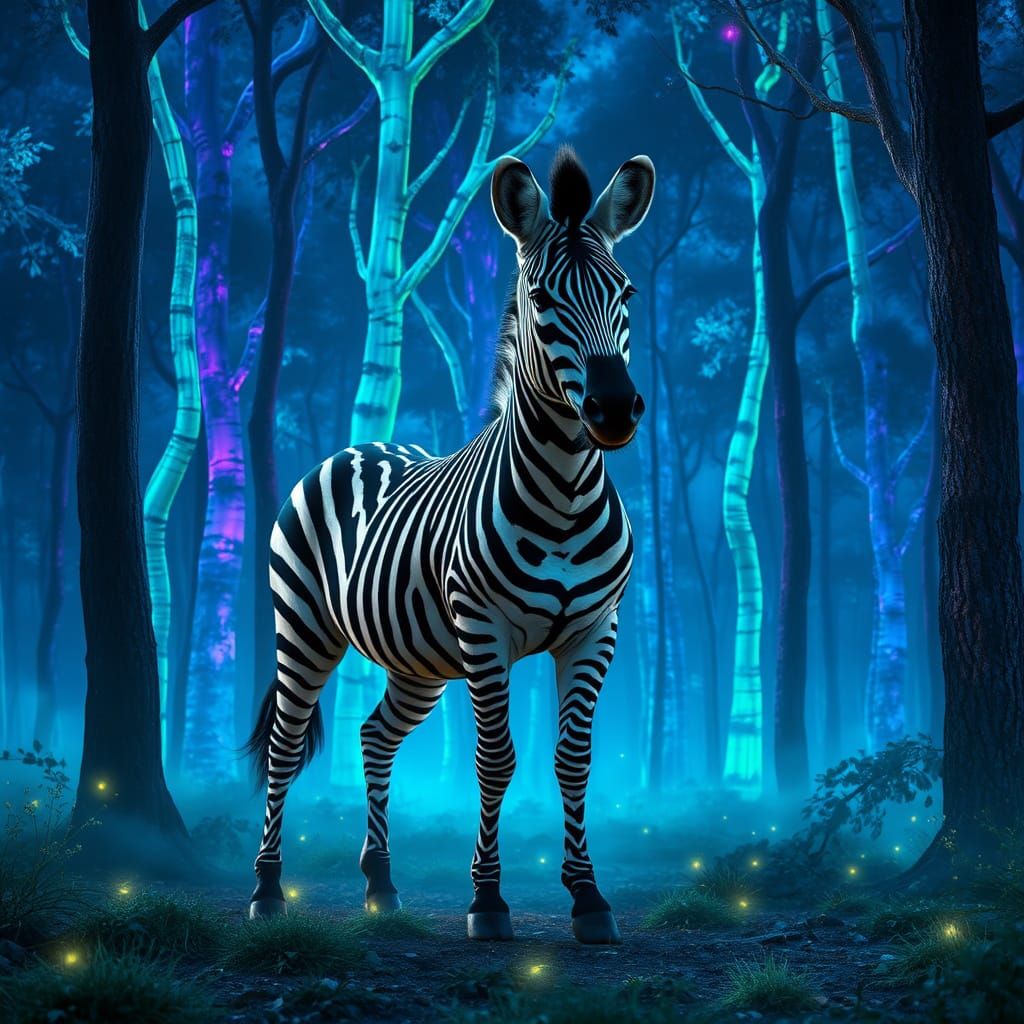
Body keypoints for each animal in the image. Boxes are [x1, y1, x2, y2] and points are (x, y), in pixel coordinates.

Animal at [246, 146, 655, 945]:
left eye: (624, 291)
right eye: (541, 297)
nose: (615, 410)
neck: (564, 494)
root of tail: (359, 443)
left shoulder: (595, 630)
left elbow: (574, 761)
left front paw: (588, 898)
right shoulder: (485, 630)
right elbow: (496, 760)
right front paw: (488, 900)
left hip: (420, 659)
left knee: (374, 736)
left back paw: (379, 883)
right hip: (303, 629)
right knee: (284, 744)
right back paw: (269, 890)